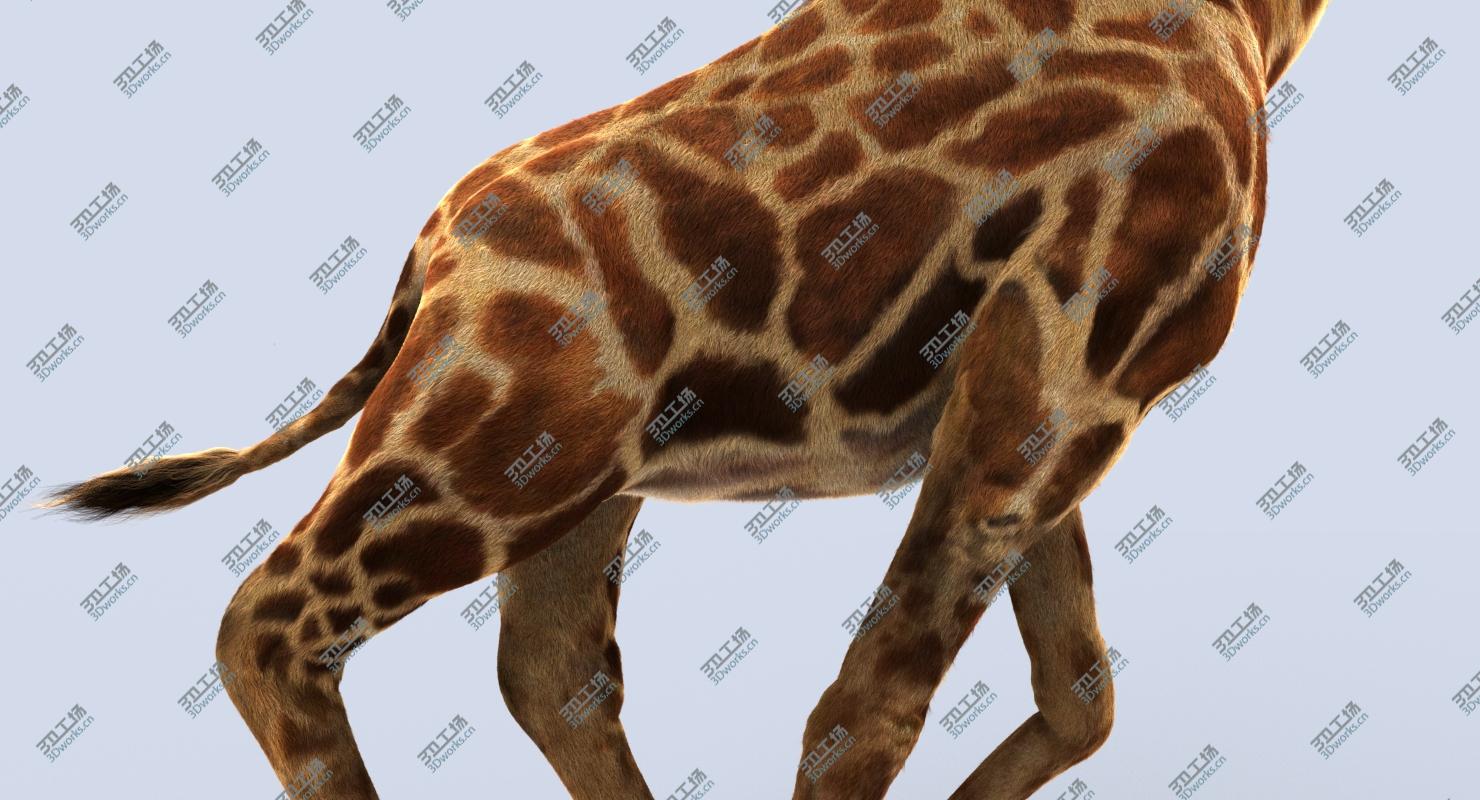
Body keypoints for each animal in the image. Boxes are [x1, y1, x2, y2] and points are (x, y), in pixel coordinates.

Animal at [41, 0, 1331, 797]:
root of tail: (431, 254)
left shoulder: (1061, 386)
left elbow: (1079, 690)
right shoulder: (1071, 356)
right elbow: (869, 707)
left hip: (575, 483)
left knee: (553, 673)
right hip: (488, 454)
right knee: (270, 622)